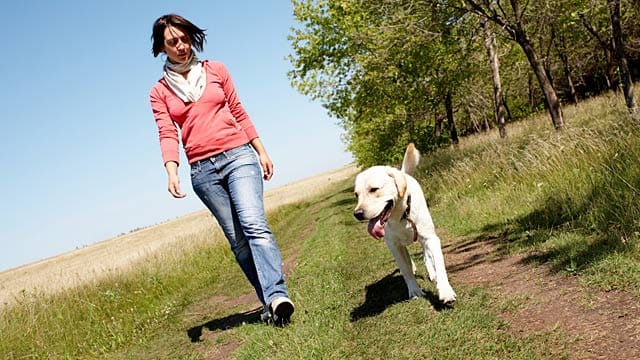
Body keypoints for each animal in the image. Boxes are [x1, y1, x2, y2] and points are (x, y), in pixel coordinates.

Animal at [352, 144, 458, 304]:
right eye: (356, 195)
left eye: (374, 189)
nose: (357, 214)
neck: (401, 216)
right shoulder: (394, 246)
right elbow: (406, 269)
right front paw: (414, 290)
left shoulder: (431, 238)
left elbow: (439, 265)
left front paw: (446, 291)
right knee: (408, 260)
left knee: (426, 256)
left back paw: (432, 273)